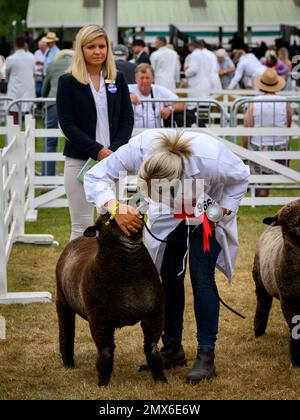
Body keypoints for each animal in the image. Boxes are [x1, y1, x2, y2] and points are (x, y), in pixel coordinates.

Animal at [55, 215, 165, 386]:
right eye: (105, 220)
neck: (129, 275)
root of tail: (78, 239)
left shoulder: (154, 314)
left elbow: (152, 348)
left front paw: (160, 378)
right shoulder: (100, 321)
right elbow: (106, 352)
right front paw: (103, 382)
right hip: (62, 300)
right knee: (66, 329)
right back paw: (68, 362)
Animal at [253, 199, 300, 366]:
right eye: (285, 221)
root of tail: (271, 227)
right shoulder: (289, 299)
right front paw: (296, 361)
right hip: (259, 280)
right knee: (263, 304)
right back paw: (258, 332)